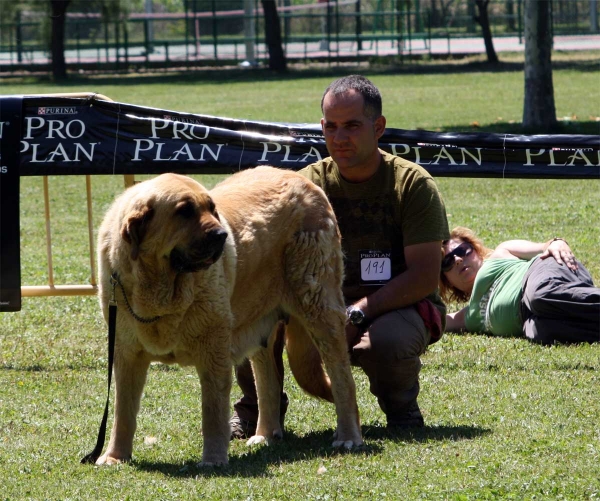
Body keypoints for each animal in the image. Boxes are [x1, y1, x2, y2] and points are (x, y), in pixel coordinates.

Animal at [96, 167, 364, 464]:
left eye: (212, 208)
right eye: (184, 211)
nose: (222, 235)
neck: (161, 288)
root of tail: (303, 180)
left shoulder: (214, 351)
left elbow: (212, 411)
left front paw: (213, 459)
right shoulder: (126, 353)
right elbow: (123, 410)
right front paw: (114, 457)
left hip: (319, 309)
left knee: (342, 378)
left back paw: (348, 436)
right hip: (259, 324)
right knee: (268, 381)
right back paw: (265, 435)